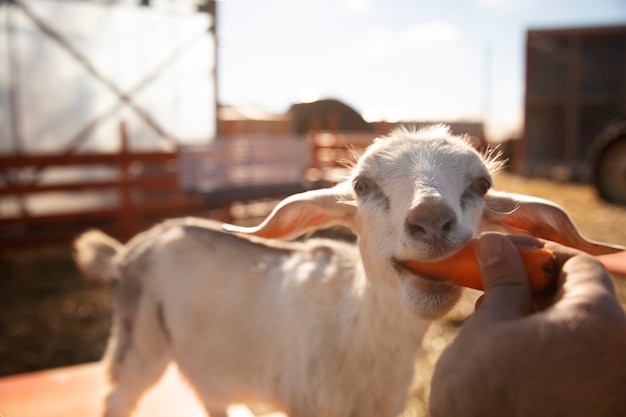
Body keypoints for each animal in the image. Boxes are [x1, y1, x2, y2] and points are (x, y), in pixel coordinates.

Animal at [73, 126, 620, 416]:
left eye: (482, 185)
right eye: (361, 186)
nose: (431, 221)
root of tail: (127, 250)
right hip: (139, 344)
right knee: (118, 397)